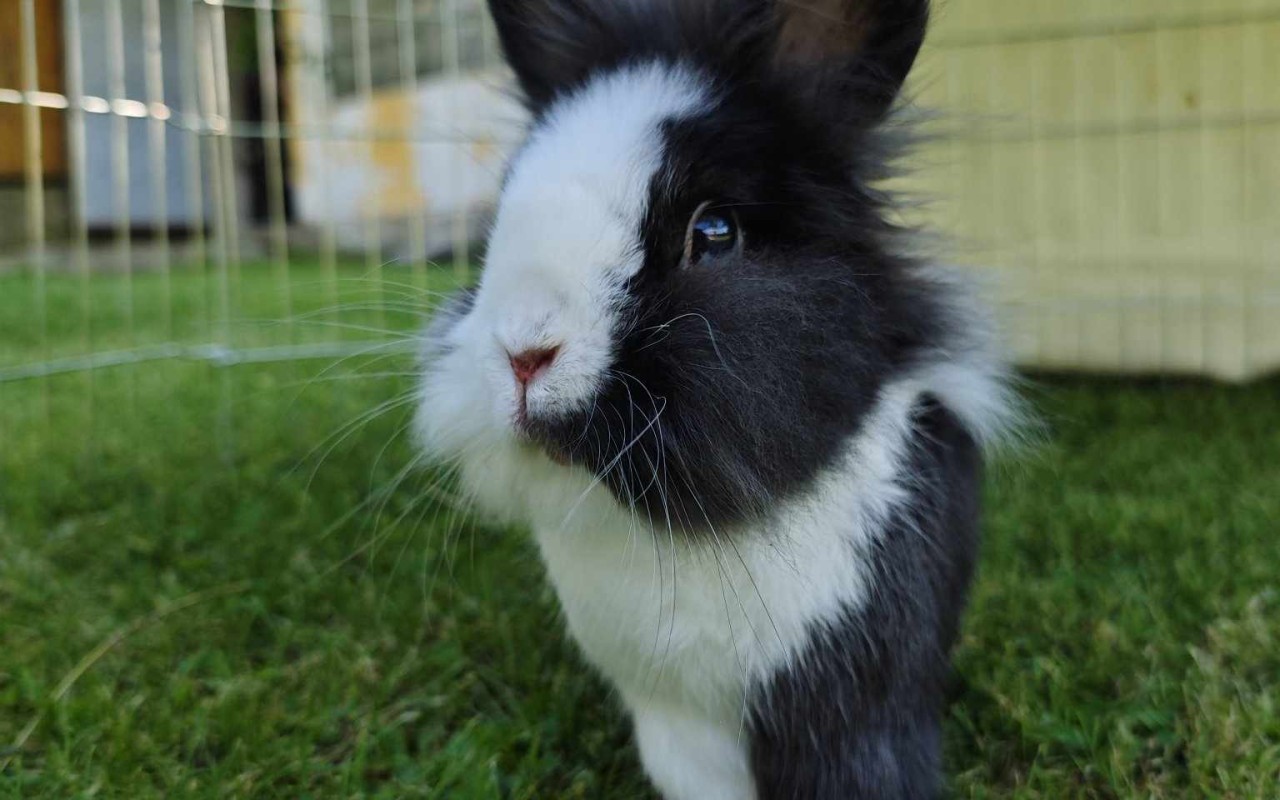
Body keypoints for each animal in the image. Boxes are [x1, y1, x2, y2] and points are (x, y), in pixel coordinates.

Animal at [414, 1, 1013, 798]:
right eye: (499, 220)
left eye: (715, 231)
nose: (524, 353)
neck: (686, 537)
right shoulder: (673, 726)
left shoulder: (851, 705)